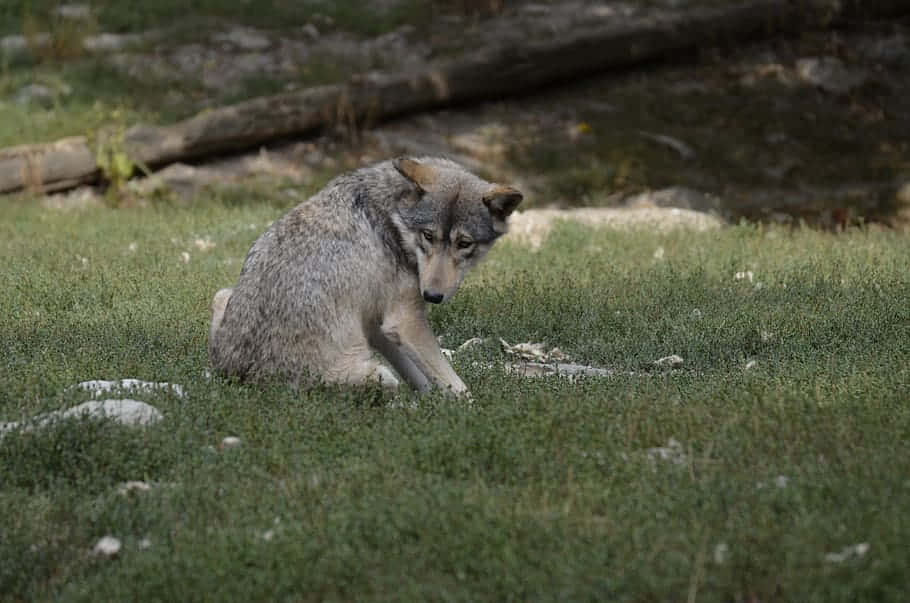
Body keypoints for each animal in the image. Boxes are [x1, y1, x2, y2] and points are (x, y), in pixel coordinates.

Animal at [206, 157, 520, 396]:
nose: (431, 295)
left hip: (222, 295)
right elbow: (457, 387)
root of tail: (241, 379)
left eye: (464, 243)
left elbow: (419, 375)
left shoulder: (376, 324)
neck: (394, 216)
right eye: (428, 236)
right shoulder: (405, 321)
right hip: (380, 375)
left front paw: (428, 402)